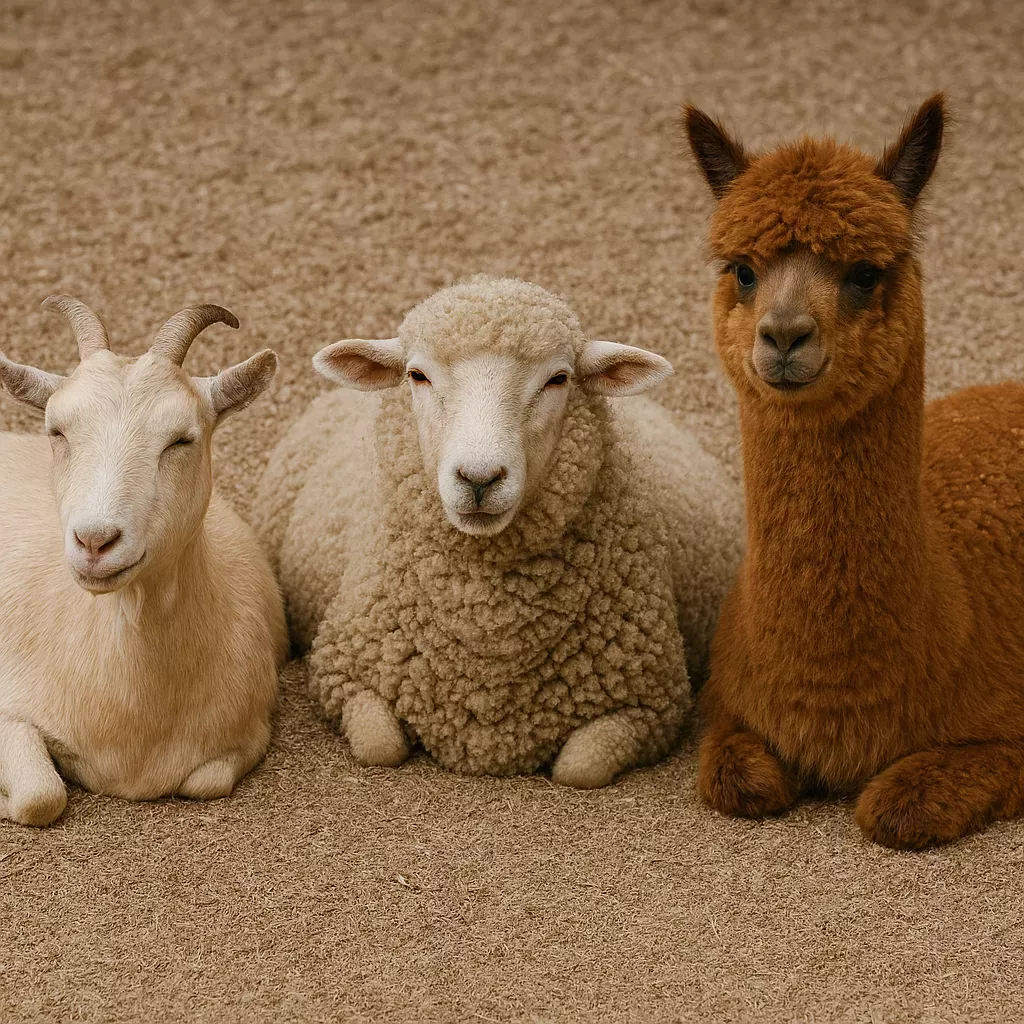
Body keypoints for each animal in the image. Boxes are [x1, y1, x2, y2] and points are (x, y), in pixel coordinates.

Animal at [0, 297, 287, 826]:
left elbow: (206, 781)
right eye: (57, 430)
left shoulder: (247, 735)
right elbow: (41, 795)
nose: (95, 542)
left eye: (181, 440)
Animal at [254, 276, 743, 787]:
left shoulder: (651, 705)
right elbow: (379, 747)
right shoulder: (343, 674)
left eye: (558, 379)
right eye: (417, 376)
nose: (479, 478)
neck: (488, 631)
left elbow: (579, 767)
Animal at [683, 93, 1024, 849]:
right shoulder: (729, 707)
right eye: (743, 269)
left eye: (864, 272)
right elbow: (740, 779)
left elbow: (899, 806)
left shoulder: (1008, 736)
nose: (783, 335)